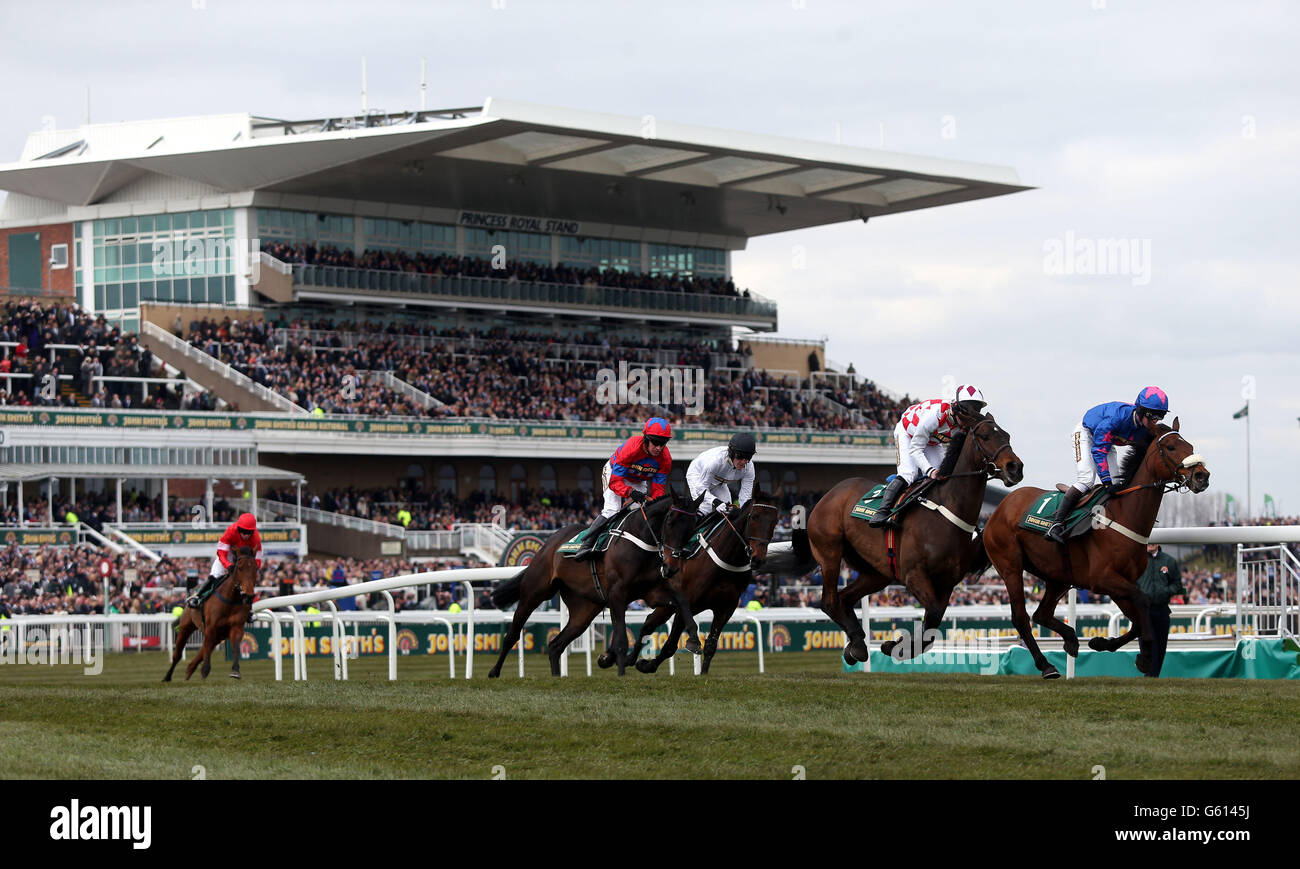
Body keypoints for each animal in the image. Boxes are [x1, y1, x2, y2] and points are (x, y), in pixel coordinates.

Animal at [163, 546, 257, 681]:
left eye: (256, 568)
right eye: (239, 568)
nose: (248, 596)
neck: (231, 600)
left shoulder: (236, 627)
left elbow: (235, 648)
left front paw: (235, 671)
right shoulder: (211, 627)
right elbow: (206, 648)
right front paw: (205, 670)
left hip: (218, 636)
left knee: (201, 652)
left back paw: (189, 671)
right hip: (186, 626)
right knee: (178, 654)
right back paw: (168, 676)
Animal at [486, 489, 707, 676]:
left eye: (692, 528)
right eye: (670, 521)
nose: (672, 567)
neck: (641, 541)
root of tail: (548, 542)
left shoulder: (651, 592)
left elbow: (682, 601)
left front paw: (694, 639)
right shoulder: (617, 594)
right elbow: (620, 640)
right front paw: (620, 672)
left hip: (583, 610)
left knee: (556, 645)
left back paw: (556, 677)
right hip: (534, 592)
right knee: (513, 634)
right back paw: (494, 672)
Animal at [613, 489, 774, 671]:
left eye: (774, 521)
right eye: (754, 517)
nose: (758, 559)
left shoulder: (726, 607)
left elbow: (710, 646)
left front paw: (703, 673)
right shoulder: (687, 602)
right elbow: (670, 645)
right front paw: (648, 665)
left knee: (648, 624)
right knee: (648, 624)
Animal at [790, 413, 1024, 666]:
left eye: (1007, 435)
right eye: (985, 436)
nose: (1015, 467)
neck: (947, 509)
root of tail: (828, 495)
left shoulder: (947, 582)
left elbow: (932, 624)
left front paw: (896, 647)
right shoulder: (914, 574)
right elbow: (932, 615)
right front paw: (895, 645)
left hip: (876, 572)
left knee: (844, 598)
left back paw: (856, 644)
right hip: (830, 553)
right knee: (829, 601)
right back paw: (858, 644)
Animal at [982, 416, 1206, 676]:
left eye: (1190, 446)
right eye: (1170, 447)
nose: (1202, 476)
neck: (1123, 515)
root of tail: (1000, 508)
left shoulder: (1120, 583)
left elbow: (1138, 620)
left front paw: (1102, 643)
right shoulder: (1102, 579)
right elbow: (1143, 601)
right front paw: (1147, 655)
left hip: (1058, 577)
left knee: (1042, 613)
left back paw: (1070, 639)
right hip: (1010, 566)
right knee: (1021, 617)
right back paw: (1046, 665)